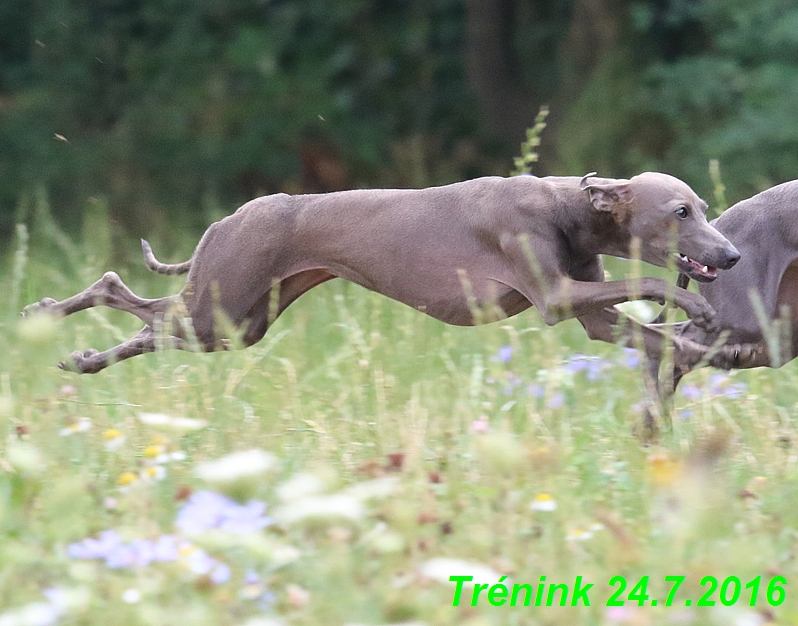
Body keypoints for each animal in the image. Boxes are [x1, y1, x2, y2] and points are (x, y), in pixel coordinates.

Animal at [23, 173, 744, 372]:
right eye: (681, 211)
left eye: (706, 208)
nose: (732, 256)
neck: (568, 204)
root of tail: (227, 218)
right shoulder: (556, 294)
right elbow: (651, 284)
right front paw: (697, 310)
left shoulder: (591, 312)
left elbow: (640, 331)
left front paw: (700, 349)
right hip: (217, 305)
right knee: (121, 292)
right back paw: (48, 317)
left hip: (234, 324)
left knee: (151, 325)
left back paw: (84, 358)